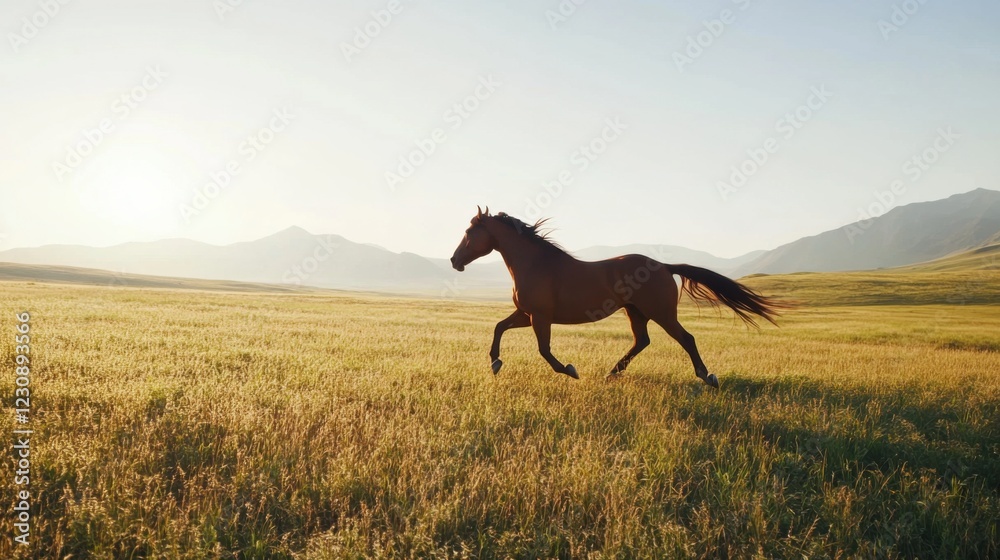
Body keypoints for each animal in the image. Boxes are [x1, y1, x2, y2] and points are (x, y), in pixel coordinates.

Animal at [449, 207, 790, 388]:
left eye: (468, 233)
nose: (455, 261)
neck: (536, 264)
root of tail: (663, 266)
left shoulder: (540, 317)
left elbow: (545, 351)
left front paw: (571, 370)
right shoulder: (527, 314)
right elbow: (498, 327)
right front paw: (495, 363)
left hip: (660, 313)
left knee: (686, 338)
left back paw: (707, 377)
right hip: (635, 312)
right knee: (642, 341)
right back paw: (611, 373)